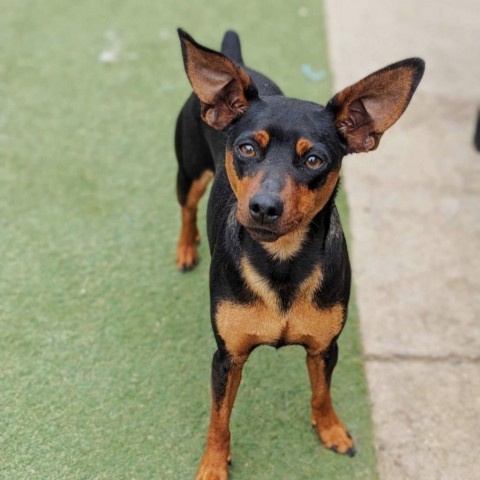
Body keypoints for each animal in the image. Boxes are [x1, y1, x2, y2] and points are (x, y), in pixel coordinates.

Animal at [173, 28, 424, 478]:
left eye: (314, 160)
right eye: (247, 149)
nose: (264, 207)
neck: (282, 261)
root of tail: (237, 61)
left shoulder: (325, 348)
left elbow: (322, 393)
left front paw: (330, 429)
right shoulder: (226, 358)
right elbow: (219, 419)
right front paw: (214, 464)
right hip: (190, 172)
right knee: (186, 208)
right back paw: (186, 248)